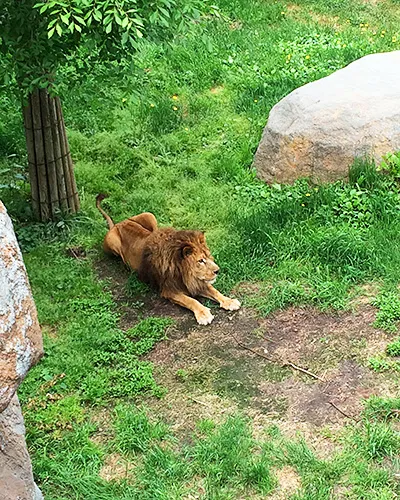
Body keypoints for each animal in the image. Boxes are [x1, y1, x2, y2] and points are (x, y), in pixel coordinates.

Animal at [96, 193, 241, 326]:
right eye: (200, 261)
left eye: (208, 256)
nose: (218, 271)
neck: (183, 272)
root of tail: (118, 224)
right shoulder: (169, 289)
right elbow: (191, 300)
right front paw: (203, 314)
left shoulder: (195, 281)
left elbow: (214, 291)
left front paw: (229, 301)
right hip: (112, 243)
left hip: (149, 215)